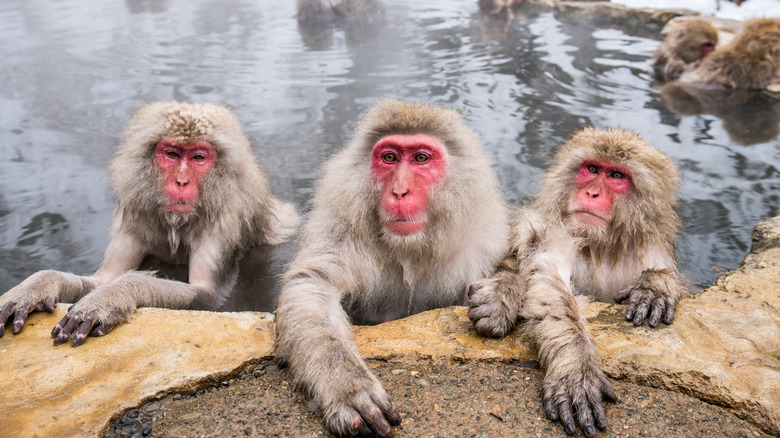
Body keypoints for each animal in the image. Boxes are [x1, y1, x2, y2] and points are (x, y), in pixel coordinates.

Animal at [0, 101, 298, 348]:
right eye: (172, 154)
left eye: (198, 158)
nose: (181, 182)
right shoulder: (136, 217)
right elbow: (101, 279)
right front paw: (34, 287)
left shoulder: (224, 223)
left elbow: (207, 296)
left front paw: (112, 296)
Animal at [276, 99, 512, 438]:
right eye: (389, 158)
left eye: (420, 158)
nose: (399, 192)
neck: (410, 251)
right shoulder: (341, 231)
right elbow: (313, 285)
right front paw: (347, 385)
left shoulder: (484, 242)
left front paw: (501, 298)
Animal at [466, 128, 684, 436]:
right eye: (591, 169)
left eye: (616, 176)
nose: (591, 192)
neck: (599, 247)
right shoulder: (555, 231)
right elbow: (549, 281)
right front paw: (577, 366)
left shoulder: (650, 246)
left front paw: (655, 287)